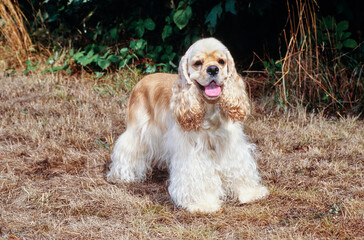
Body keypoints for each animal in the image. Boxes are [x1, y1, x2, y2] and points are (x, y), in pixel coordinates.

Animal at [106, 38, 268, 213]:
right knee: (127, 149)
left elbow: (239, 169)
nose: (213, 69)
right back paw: (122, 176)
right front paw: (203, 203)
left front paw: (250, 193)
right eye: (198, 63)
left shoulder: (231, 144)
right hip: (136, 130)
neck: (209, 109)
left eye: (221, 61)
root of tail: (142, 80)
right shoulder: (192, 151)